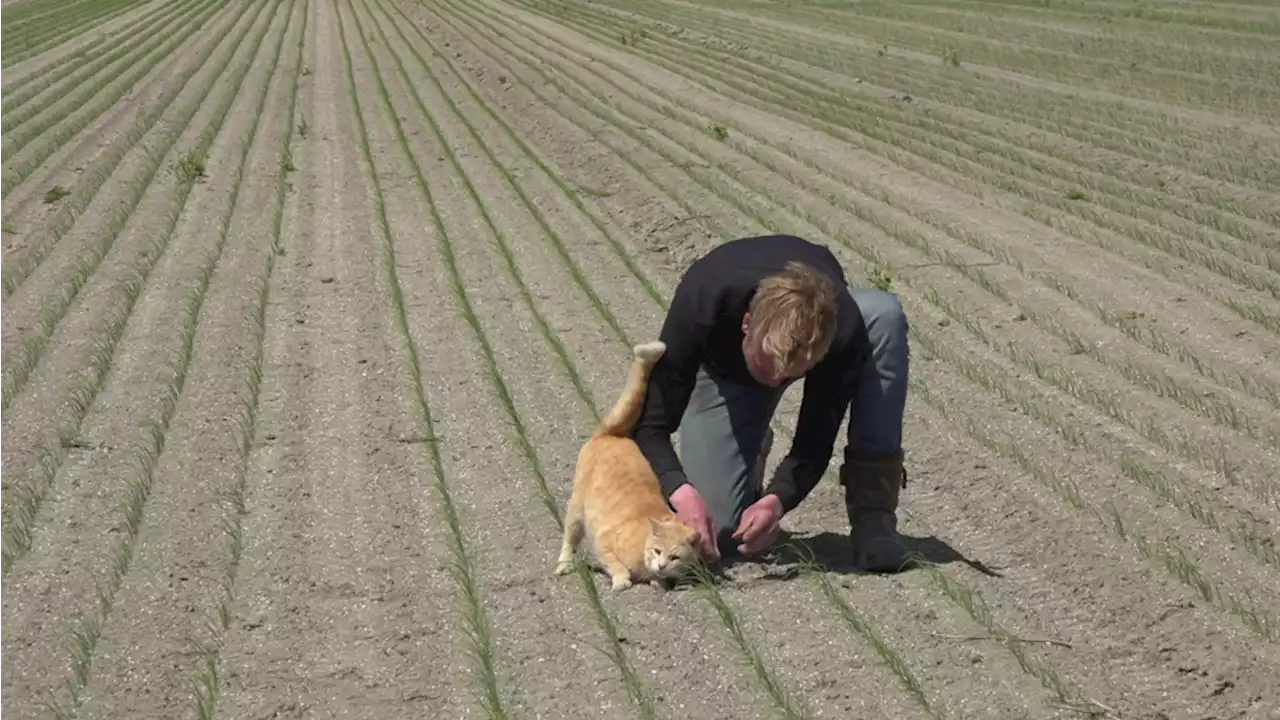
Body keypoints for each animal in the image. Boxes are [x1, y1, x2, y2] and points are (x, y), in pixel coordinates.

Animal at [555, 338, 701, 591]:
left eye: (675, 557)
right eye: (657, 551)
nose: (662, 566)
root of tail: (615, 433)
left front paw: (657, 582)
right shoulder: (603, 541)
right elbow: (615, 564)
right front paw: (622, 581)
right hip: (577, 510)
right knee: (569, 538)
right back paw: (564, 564)